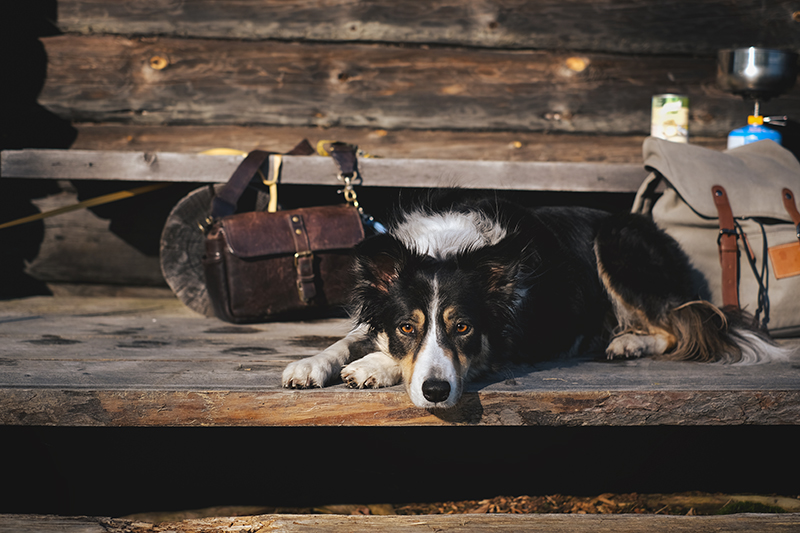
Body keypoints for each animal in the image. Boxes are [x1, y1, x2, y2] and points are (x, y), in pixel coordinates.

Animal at [282, 191, 788, 408]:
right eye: (408, 325)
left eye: (463, 327)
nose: (436, 393)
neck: (450, 249)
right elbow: (350, 338)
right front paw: (312, 364)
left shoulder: (498, 345)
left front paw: (372, 366)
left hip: (617, 243)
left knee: (680, 324)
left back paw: (628, 341)